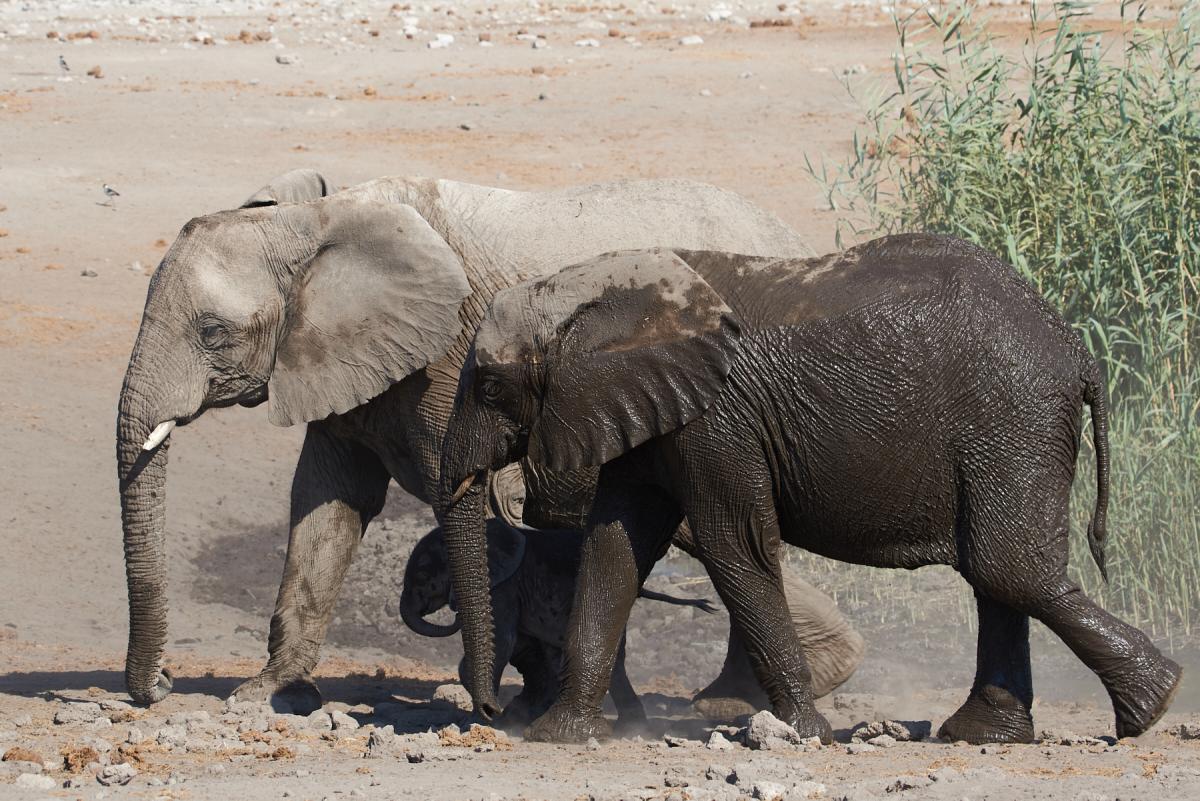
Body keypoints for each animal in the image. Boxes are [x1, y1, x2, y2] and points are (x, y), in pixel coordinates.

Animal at [403, 520, 720, 724]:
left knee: (612, 663)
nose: (453, 613)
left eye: (422, 575)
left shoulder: (504, 587)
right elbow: (521, 647)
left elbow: (503, 644)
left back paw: (630, 726)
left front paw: (486, 716)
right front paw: (508, 714)